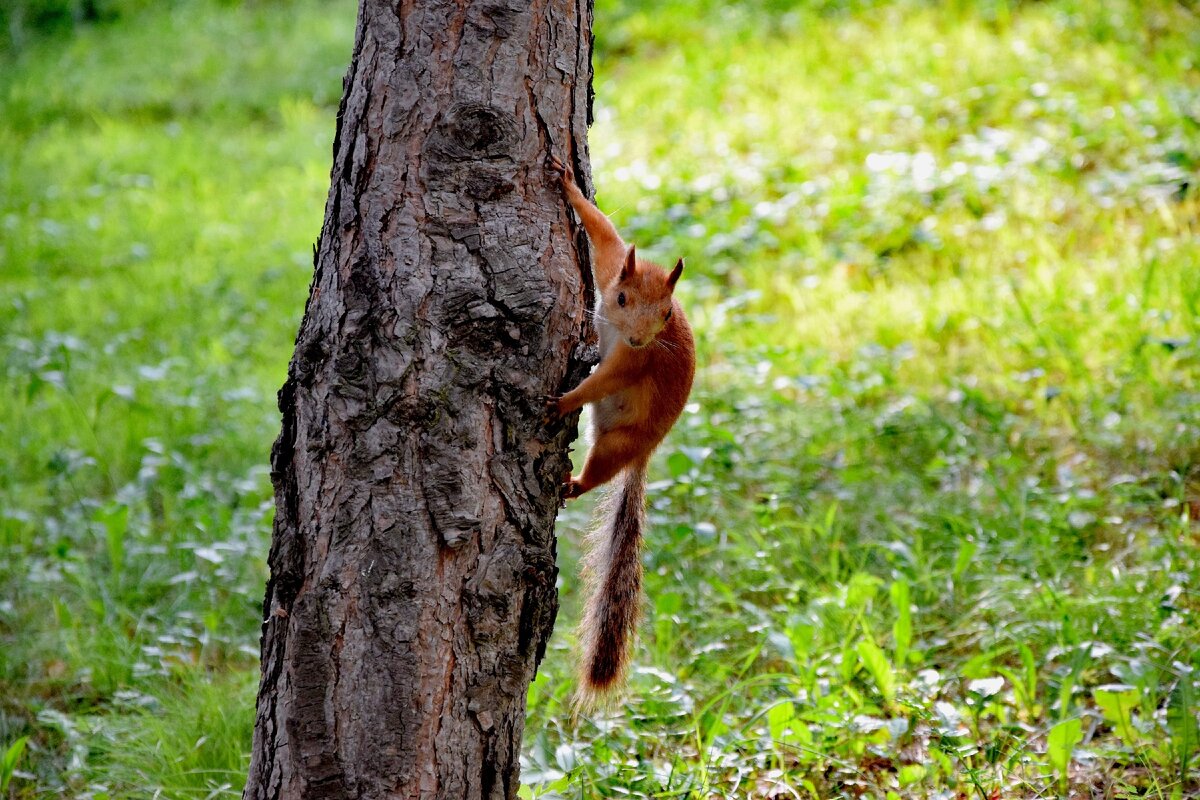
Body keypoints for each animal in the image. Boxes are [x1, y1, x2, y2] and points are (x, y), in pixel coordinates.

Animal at [544, 154, 696, 700]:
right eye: (624, 297)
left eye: (667, 313)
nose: (639, 337)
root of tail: (646, 451)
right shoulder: (609, 266)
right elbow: (601, 229)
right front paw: (567, 182)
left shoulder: (632, 365)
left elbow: (600, 383)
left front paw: (565, 399)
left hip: (617, 443)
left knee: (597, 473)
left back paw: (573, 483)